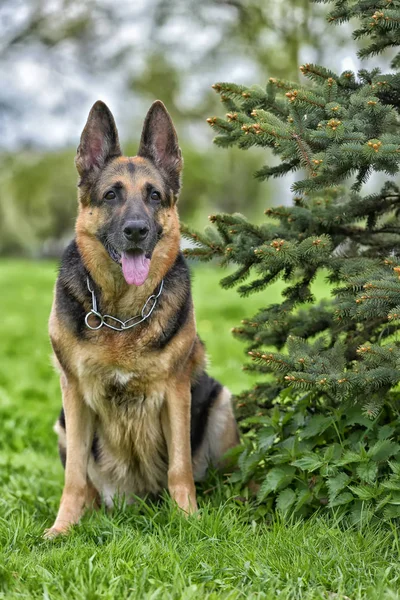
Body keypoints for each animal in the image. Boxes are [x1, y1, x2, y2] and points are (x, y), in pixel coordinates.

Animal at [44, 101, 238, 536]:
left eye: (153, 195)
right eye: (111, 195)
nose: (137, 230)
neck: (122, 316)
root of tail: (137, 500)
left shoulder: (176, 392)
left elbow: (180, 469)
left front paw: (188, 521)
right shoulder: (74, 395)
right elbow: (74, 478)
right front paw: (62, 529)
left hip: (221, 402)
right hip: (64, 424)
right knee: (88, 485)